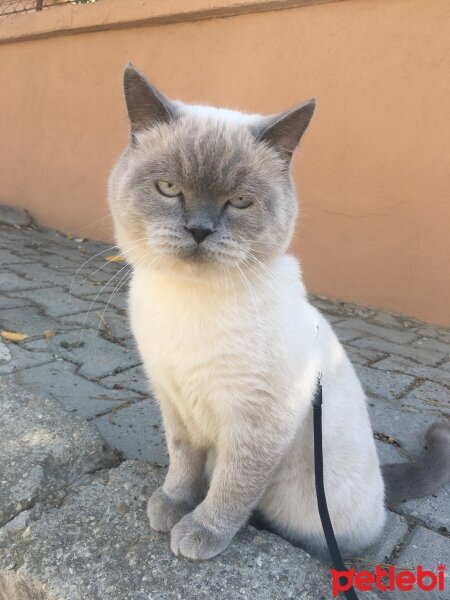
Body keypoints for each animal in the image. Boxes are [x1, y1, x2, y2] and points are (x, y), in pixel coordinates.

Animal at [109, 65, 450, 564]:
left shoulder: (259, 420)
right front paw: (170, 504)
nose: (198, 230)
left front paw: (201, 531)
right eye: (169, 189)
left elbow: (234, 485)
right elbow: (183, 462)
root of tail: (384, 487)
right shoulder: (173, 399)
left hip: (307, 502)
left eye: (239, 202)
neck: (189, 302)